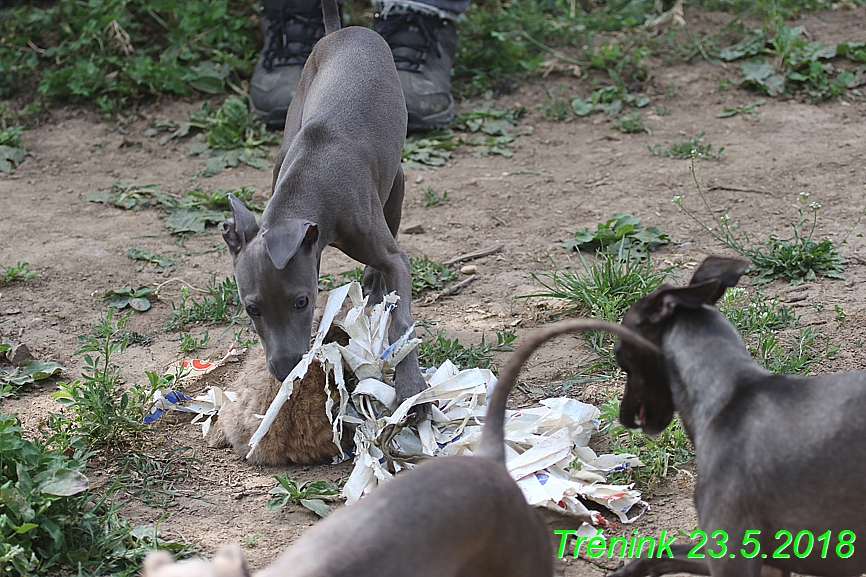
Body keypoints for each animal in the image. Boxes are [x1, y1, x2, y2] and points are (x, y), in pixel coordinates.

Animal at [221, 0, 426, 416]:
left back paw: (373, 287)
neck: (310, 184)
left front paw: (411, 386)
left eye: (302, 301)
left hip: (396, 182)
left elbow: (401, 318)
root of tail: (341, 31)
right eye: (252, 309)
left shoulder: (393, 257)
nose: (285, 371)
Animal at [604, 256, 860, 576]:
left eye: (618, 351)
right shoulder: (767, 563)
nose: (623, 416)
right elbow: (660, 551)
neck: (729, 393)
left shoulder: (730, 554)